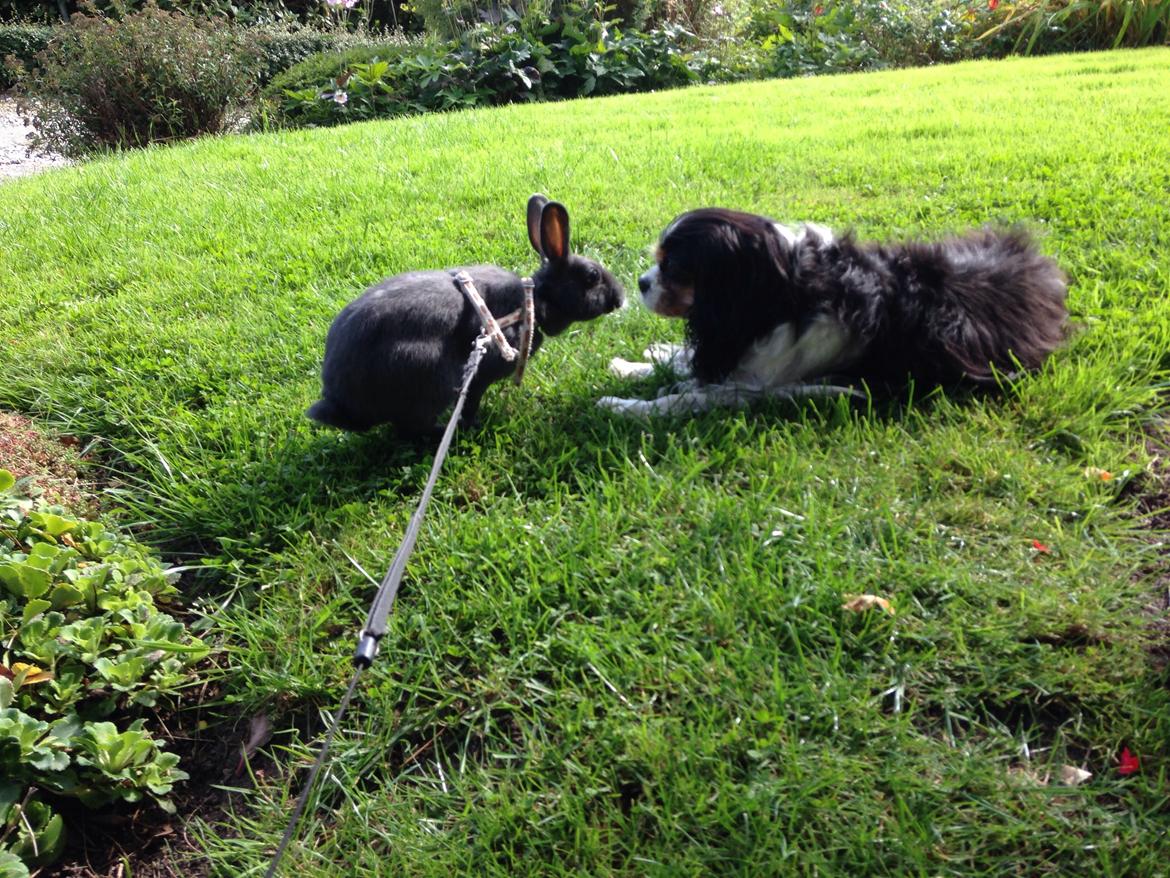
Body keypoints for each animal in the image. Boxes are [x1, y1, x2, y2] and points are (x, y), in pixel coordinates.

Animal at [306, 195, 627, 437]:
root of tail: (339, 401)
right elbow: (472, 401)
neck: (535, 301)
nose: (620, 297)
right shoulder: (478, 376)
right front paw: (474, 423)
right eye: (592, 276)